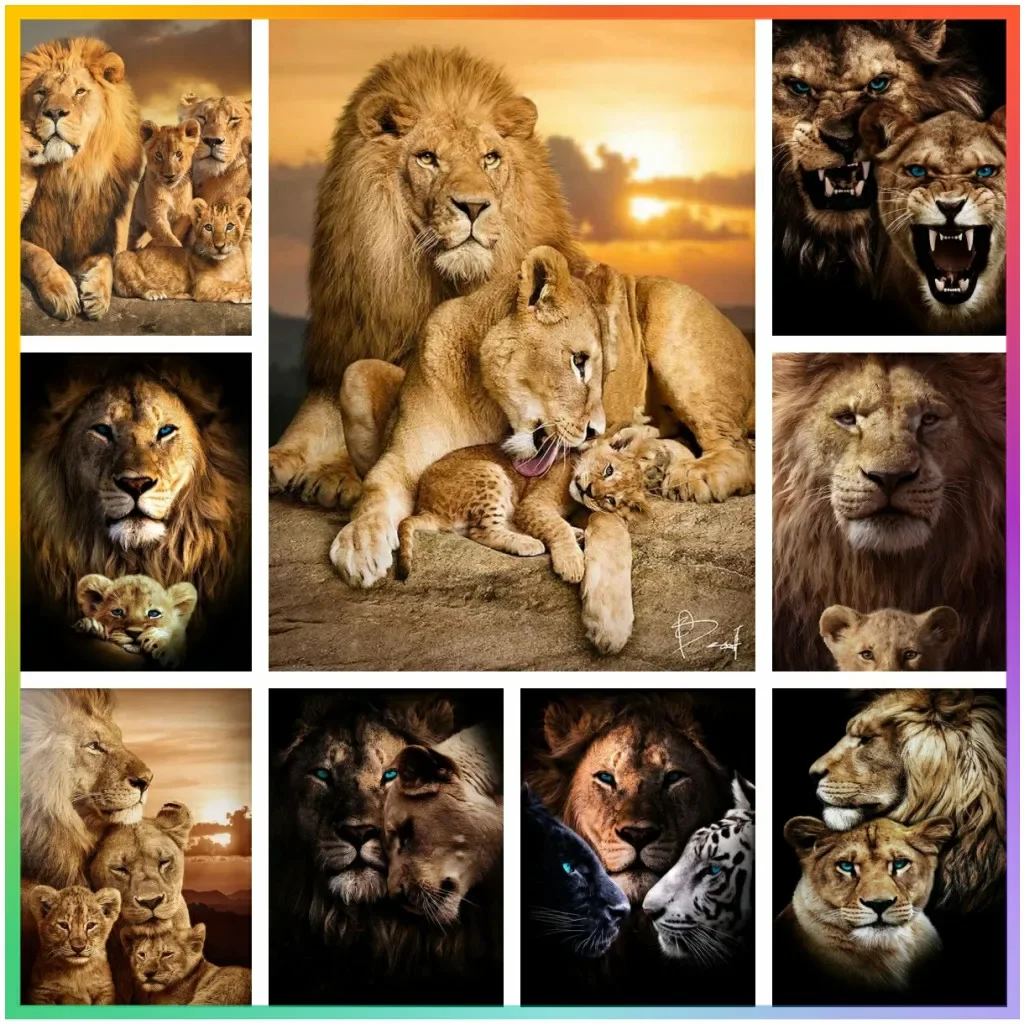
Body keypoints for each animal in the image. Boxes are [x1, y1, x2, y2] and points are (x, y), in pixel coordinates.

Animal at [20, 37, 143, 320]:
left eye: (79, 92)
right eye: (41, 92)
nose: (54, 112)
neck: (69, 176)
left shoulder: (95, 238)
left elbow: (107, 261)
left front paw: (97, 295)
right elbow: (35, 253)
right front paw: (61, 291)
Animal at [114, 198, 252, 304]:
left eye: (230, 226)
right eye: (208, 227)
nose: (219, 246)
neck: (229, 261)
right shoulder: (202, 284)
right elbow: (227, 285)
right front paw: (247, 293)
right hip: (123, 257)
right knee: (133, 286)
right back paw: (155, 292)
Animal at [268, 45, 586, 510]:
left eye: (490, 157)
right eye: (427, 158)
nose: (473, 206)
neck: (439, 283)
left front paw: (335, 474)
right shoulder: (350, 346)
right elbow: (315, 417)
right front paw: (279, 459)